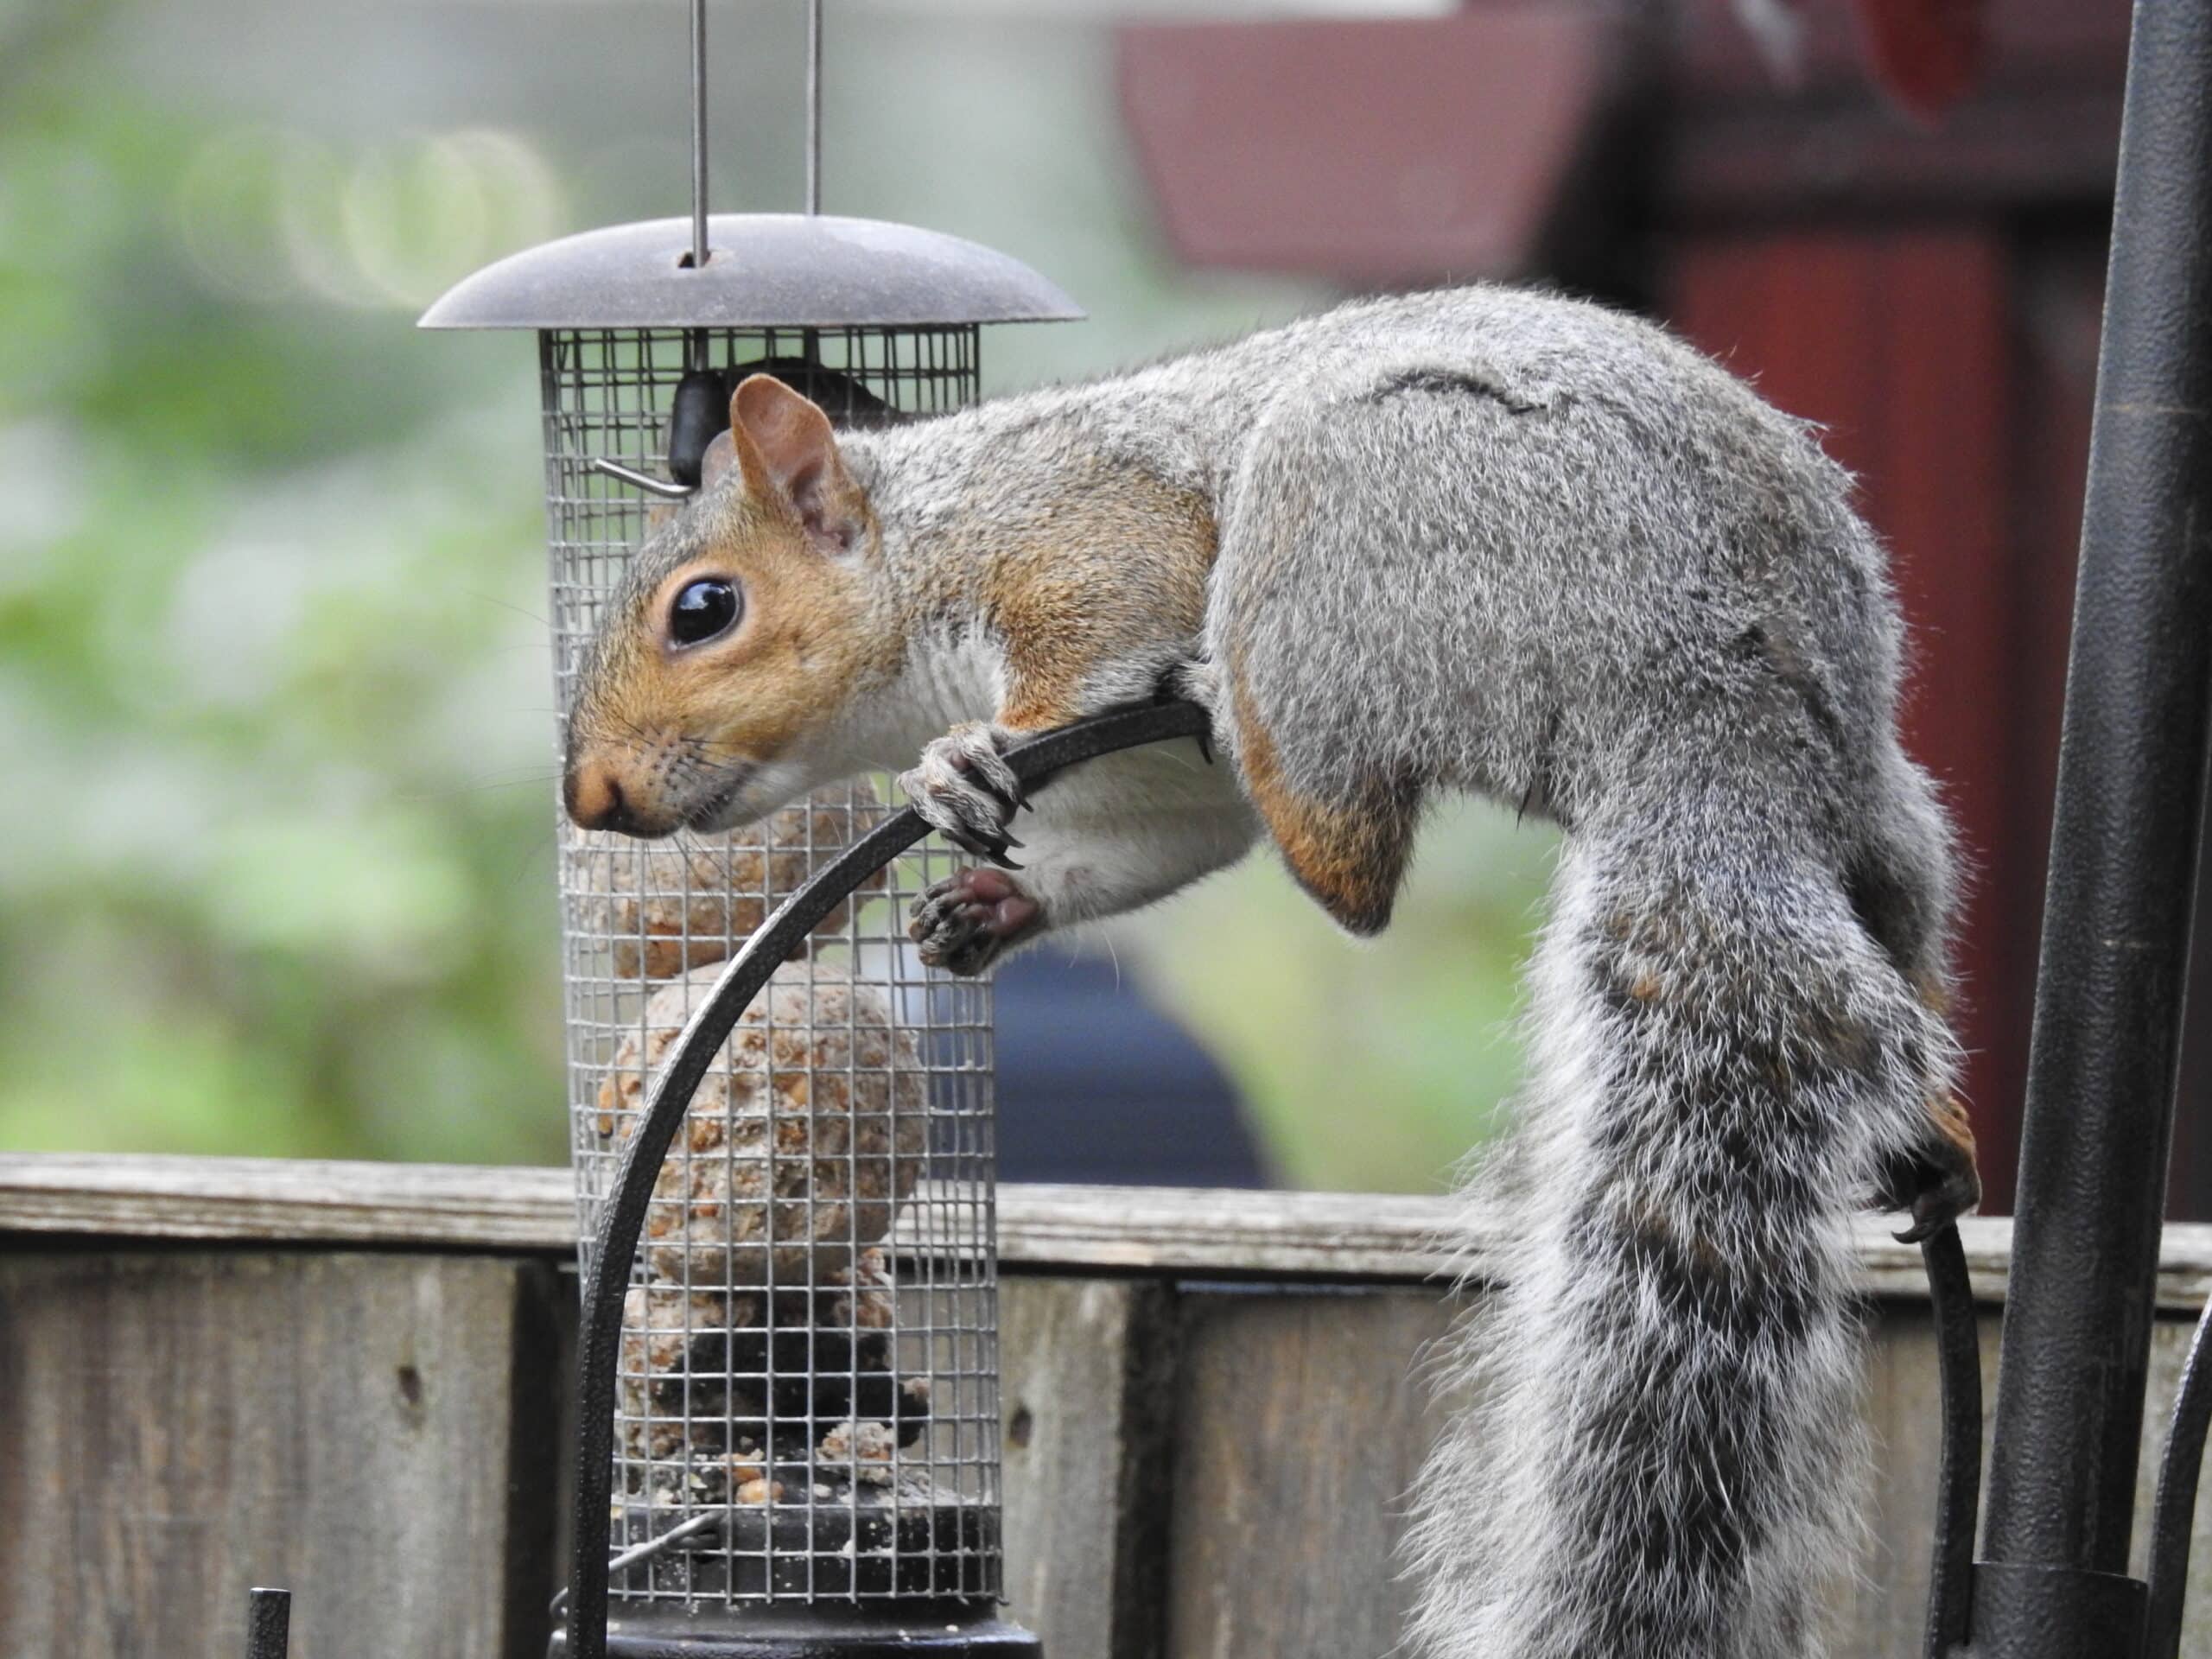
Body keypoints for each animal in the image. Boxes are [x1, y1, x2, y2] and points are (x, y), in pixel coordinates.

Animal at [562, 285, 1981, 1659]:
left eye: (705, 608)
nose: (591, 796)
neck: (924, 537)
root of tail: (1713, 722)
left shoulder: (1076, 537)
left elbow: (1096, 631)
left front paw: (967, 758)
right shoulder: (1163, 791)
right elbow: (1165, 841)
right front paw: (996, 901)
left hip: (1349, 517)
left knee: (1349, 867)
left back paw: (1230, 710)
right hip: (1862, 797)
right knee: (1894, 894)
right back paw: (1939, 1141)